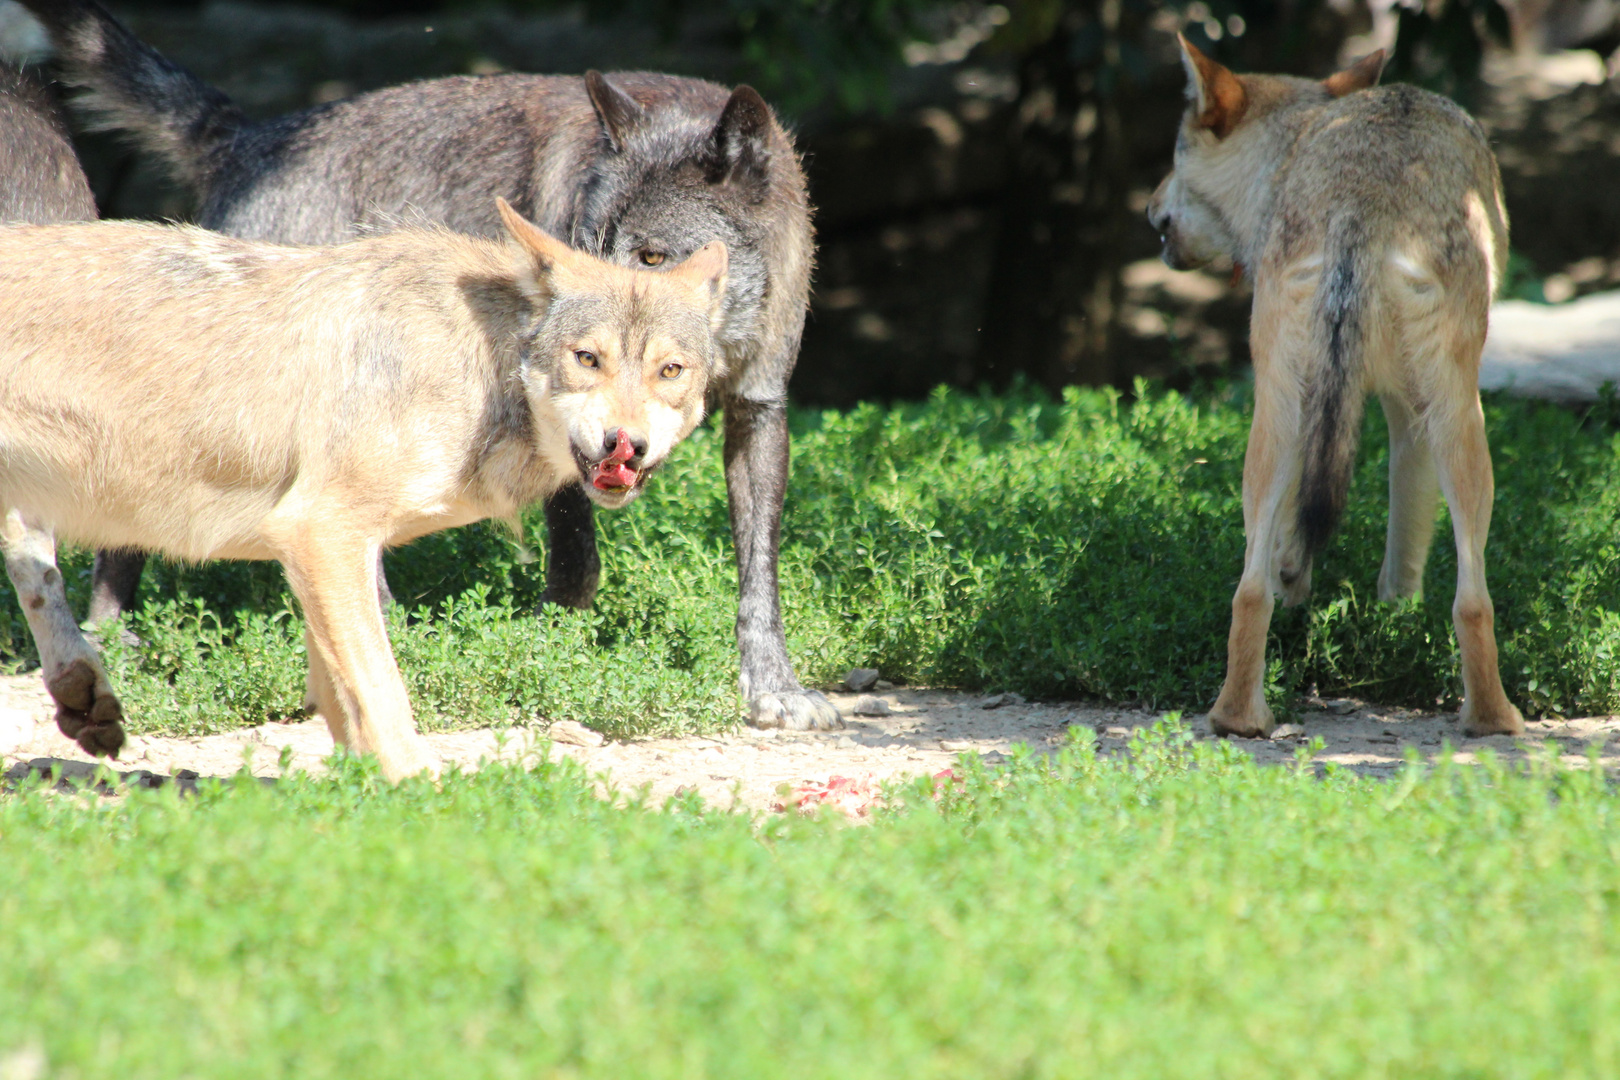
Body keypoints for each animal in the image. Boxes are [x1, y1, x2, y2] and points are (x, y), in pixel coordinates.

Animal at [0, 200, 729, 777]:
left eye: (670, 371)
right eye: (587, 359)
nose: (624, 445)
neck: (480, 362)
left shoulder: (318, 549)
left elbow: (341, 695)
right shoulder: (322, 531)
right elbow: (381, 689)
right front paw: (424, 791)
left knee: (34, 568)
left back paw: (80, 691)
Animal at [1146, 35, 1522, 744]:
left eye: (1174, 154)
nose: (1148, 210)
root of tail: (1359, 204)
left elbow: (1291, 554)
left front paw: (1310, 594)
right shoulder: (1408, 420)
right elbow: (1404, 565)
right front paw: (1396, 629)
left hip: (1279, 420)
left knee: (1251, 591)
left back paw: (1241, 718)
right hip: (1460, 420)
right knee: (1472, 597)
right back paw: (1496, 720)